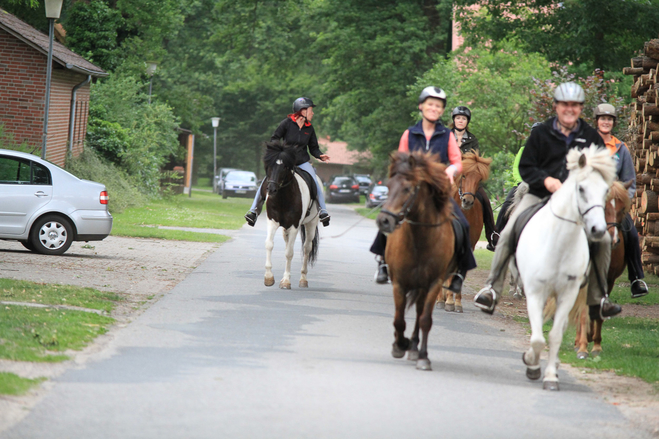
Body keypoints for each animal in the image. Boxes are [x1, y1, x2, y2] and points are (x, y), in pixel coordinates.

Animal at [264, 141, 324, 290]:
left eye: (285, 167)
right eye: (270, 164)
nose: (271, 189)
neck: (283, 197)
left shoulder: (294, 226)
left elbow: (289, 253)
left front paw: (286, 281)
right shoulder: (272, 222)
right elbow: (269, 244)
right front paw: (268, 277)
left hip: (311, 223)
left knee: (307, 248)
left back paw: (303, 280)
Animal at [374, 151, 456, 372]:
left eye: (407, 188)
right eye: (388, 186)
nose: (384, 221)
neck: (420, 240)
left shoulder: (434, 283)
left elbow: (425, 319)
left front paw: (423, 357)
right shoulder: (399, 284)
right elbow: (398, 320)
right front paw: (399, 345)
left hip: (424, 287)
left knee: (420, 314)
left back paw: (414, 347)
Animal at [440, 151, 492, 312]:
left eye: (479, 179)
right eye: (463, 175)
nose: (467, 201)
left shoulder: (470, 245)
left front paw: (457, 301)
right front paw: (449, 300)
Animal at [516, 146, 620, 394]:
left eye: (605, 191)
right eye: (581, 188)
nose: (598, 230)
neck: (558, 245)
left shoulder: (569, 294)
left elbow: (554, 335)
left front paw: (551, 376)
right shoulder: (535, 293)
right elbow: (537, 338)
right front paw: (532, 363)